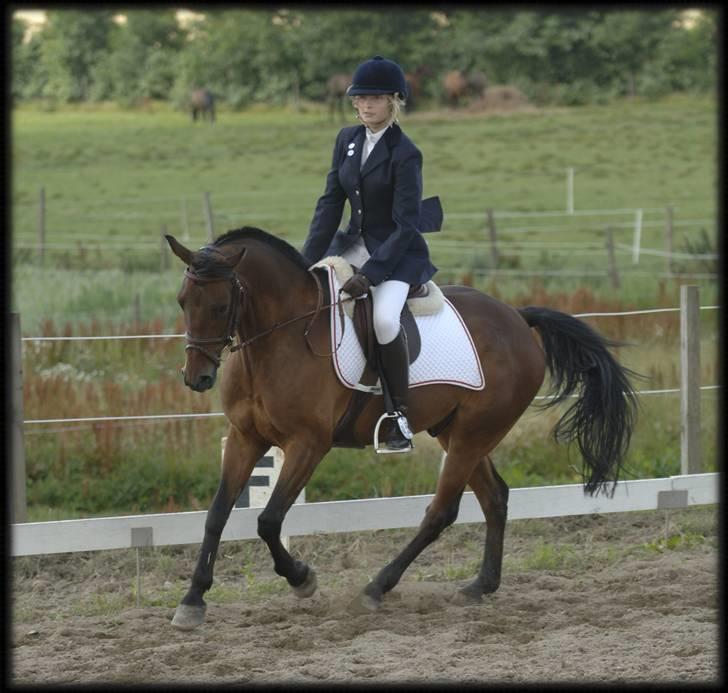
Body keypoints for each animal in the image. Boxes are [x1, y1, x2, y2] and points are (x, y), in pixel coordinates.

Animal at [164, 226, 639, 629]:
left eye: (220, 306)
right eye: (183, 301)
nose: (196, 378)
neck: (279, 339)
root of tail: (518, 319)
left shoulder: (308, 444)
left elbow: (268, 520)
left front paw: (301, 579)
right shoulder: (246, 438)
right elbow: (216, 515)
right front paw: (192, 601)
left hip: (474, 434)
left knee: (442, 512)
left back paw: (376, 588)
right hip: (455, 431)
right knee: (495, 497)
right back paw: (480, 586)